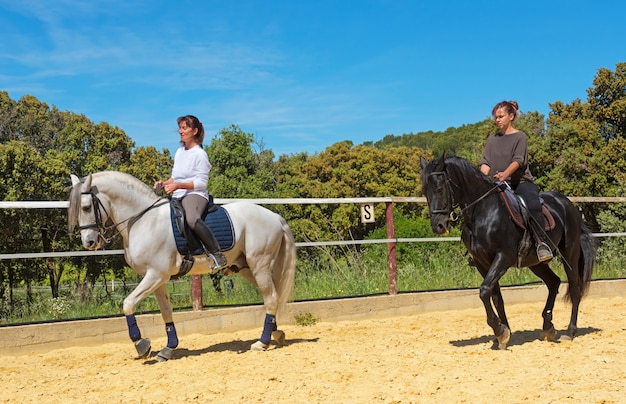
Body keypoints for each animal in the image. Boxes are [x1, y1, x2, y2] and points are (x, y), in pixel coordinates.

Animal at [67, 170, 296, 360]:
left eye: (86, 207)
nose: (89, 243)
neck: (143, 221)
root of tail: (274, 216)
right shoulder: (158, 279)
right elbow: (166, 311)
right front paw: (168, 348)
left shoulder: (155, 275)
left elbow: (128, 304)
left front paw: (142, 345)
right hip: (247, 268)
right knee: (272, 297)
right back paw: (276, 334)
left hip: (259, 265)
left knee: (271, 297)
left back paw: (262, 342)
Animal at [416, 153, 592, 348]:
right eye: (425, 191)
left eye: (439, 189)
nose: (438, 226)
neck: (483, 212)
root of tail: (569, 204)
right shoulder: (482, 263)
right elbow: (495, 296)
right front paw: (503, 333)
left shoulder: (503, 257)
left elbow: (484, 290)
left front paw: (499, 330)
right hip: (535, 263)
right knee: (553, 282)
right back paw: (548, 327)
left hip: (570, 253)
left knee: (575, 288)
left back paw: (570, 331)